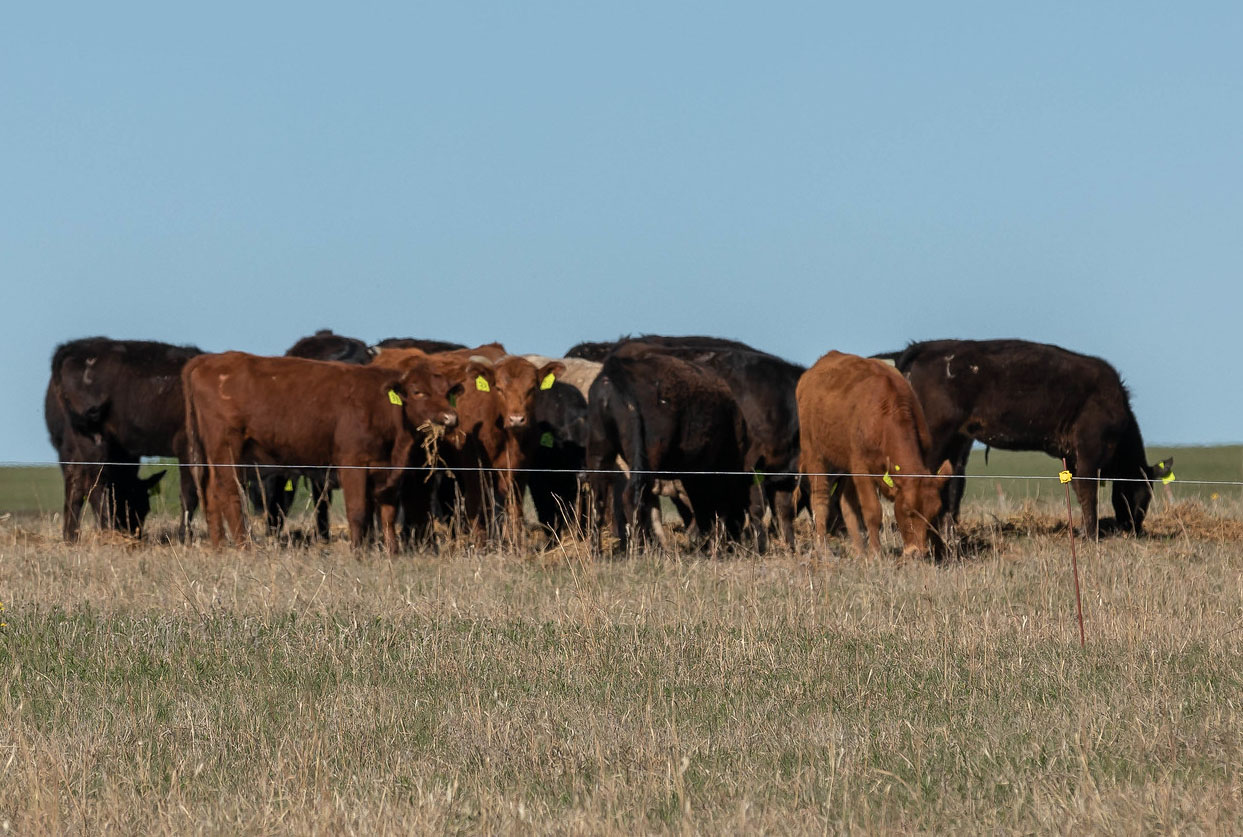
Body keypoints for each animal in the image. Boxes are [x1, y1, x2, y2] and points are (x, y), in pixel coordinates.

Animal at [46, 337, 202, 541]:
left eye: (145, 507)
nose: (135, 532)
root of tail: (70, 348)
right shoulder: (187, 446)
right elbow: (190, 492)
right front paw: (185, 537)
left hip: (71, 444)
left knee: (76, 483)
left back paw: (71, 537)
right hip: (94, 440)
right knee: (96, 484)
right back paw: (106, 531)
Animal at [183, 352, 458, 552]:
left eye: (446, 392)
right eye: (418, 391)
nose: (450, 418)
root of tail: (208, 359)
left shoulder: (386, 472)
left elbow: (387, 514)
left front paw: (392, 553)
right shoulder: (353, 465)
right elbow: (358, 512)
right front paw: (358, 554)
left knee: (210, 494)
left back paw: (219, 547)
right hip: (227, 449)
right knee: (229, 494)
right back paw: (244, 547)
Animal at [586, 344, 750, 555]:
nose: (735, 542)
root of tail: (616, 371)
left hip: (600, 450)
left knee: (598, 499)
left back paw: (596, 552)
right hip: (647, 456)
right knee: (632, 497)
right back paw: (638, 550)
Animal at [798, 351, 953, 559]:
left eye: (934, 512)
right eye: (907, 510)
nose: (917, 553)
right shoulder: (861, 467)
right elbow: (872, 510)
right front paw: (876, 554)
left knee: (847, 504)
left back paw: (859, 550)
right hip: (814, 451)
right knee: (820, 498)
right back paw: (824, 549)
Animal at [894, 339, 1171, 537]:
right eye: (1144, 493)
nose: (1134, 528)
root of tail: (926, 346)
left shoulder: (1072, 457)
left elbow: (1079, 490)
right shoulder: (1089, 448)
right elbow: (1088, 490)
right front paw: (1092, 535)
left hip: (956, 441)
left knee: (951, 486)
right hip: (935, 436)